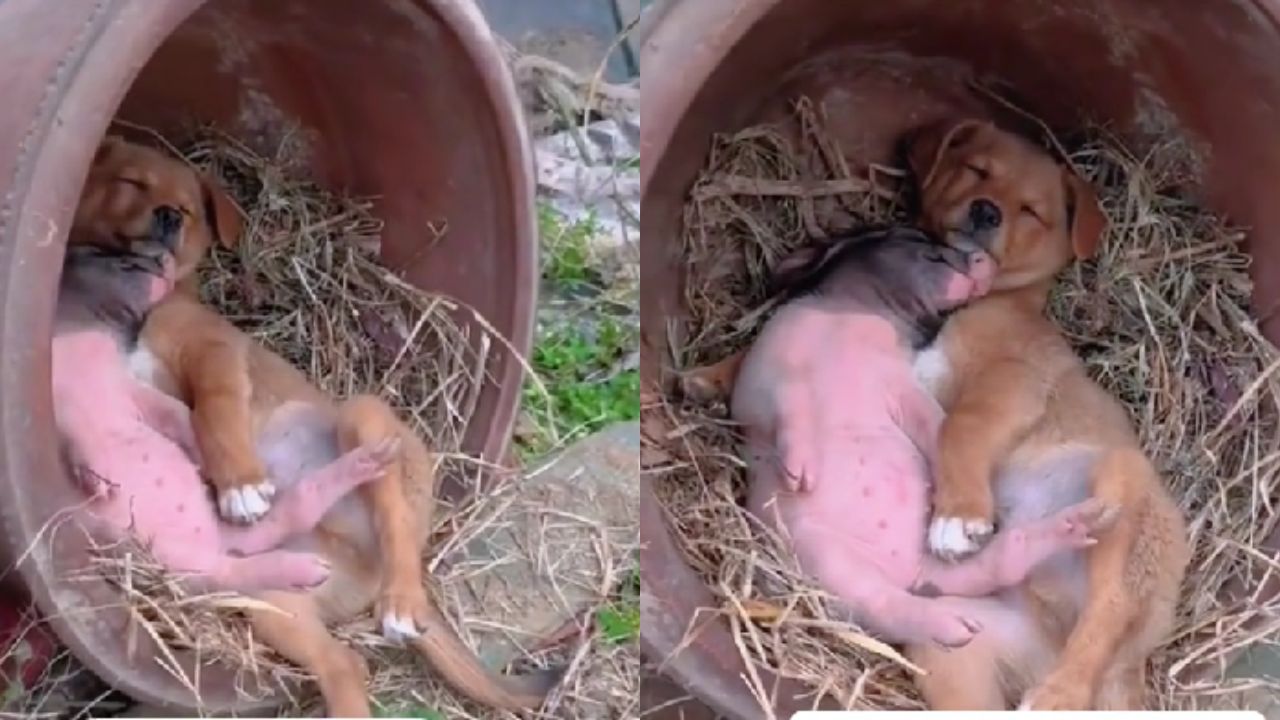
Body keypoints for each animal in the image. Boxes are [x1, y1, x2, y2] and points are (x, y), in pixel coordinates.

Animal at [71, 137, 555, 712]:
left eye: (186, 209)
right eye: (130, 182)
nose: (168, 216)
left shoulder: (214, 353)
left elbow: (213, 411)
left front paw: (240, 485)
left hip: (366, 420)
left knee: (392, 517)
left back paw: (401, 600)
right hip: (275, 600)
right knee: (343, 664)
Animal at [901, 117, 1187, 707]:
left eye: (1031, 211)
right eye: (976, 169)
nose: (987, 211)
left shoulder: (1015, 382)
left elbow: (959, 428)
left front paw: (958, 516)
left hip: (1123, 495)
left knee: (1112, 606)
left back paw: (1060, 695)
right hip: (952, 648)